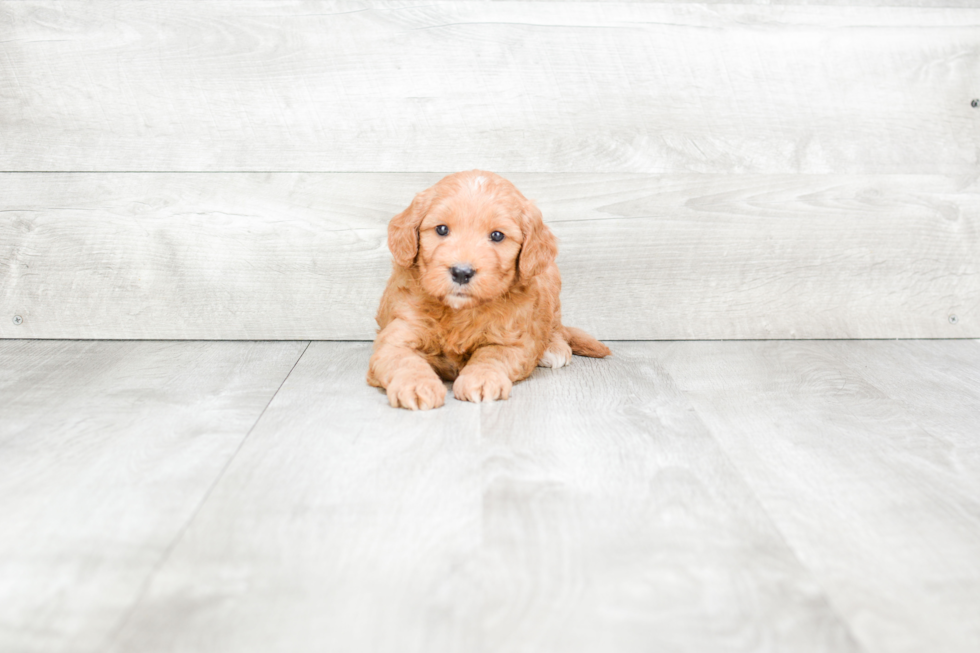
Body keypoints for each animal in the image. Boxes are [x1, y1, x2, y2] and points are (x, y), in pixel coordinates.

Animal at [368, 169, 608, 408]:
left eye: (497, 235)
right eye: (442, 229)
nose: (461, 272)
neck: (459, 312)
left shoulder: (512, 340)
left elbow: (492, 355)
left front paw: (481, 379)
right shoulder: (400, 331)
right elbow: (403, 359)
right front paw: (417, 385)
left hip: (551, 279)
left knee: (556, 325)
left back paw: (553, 348)